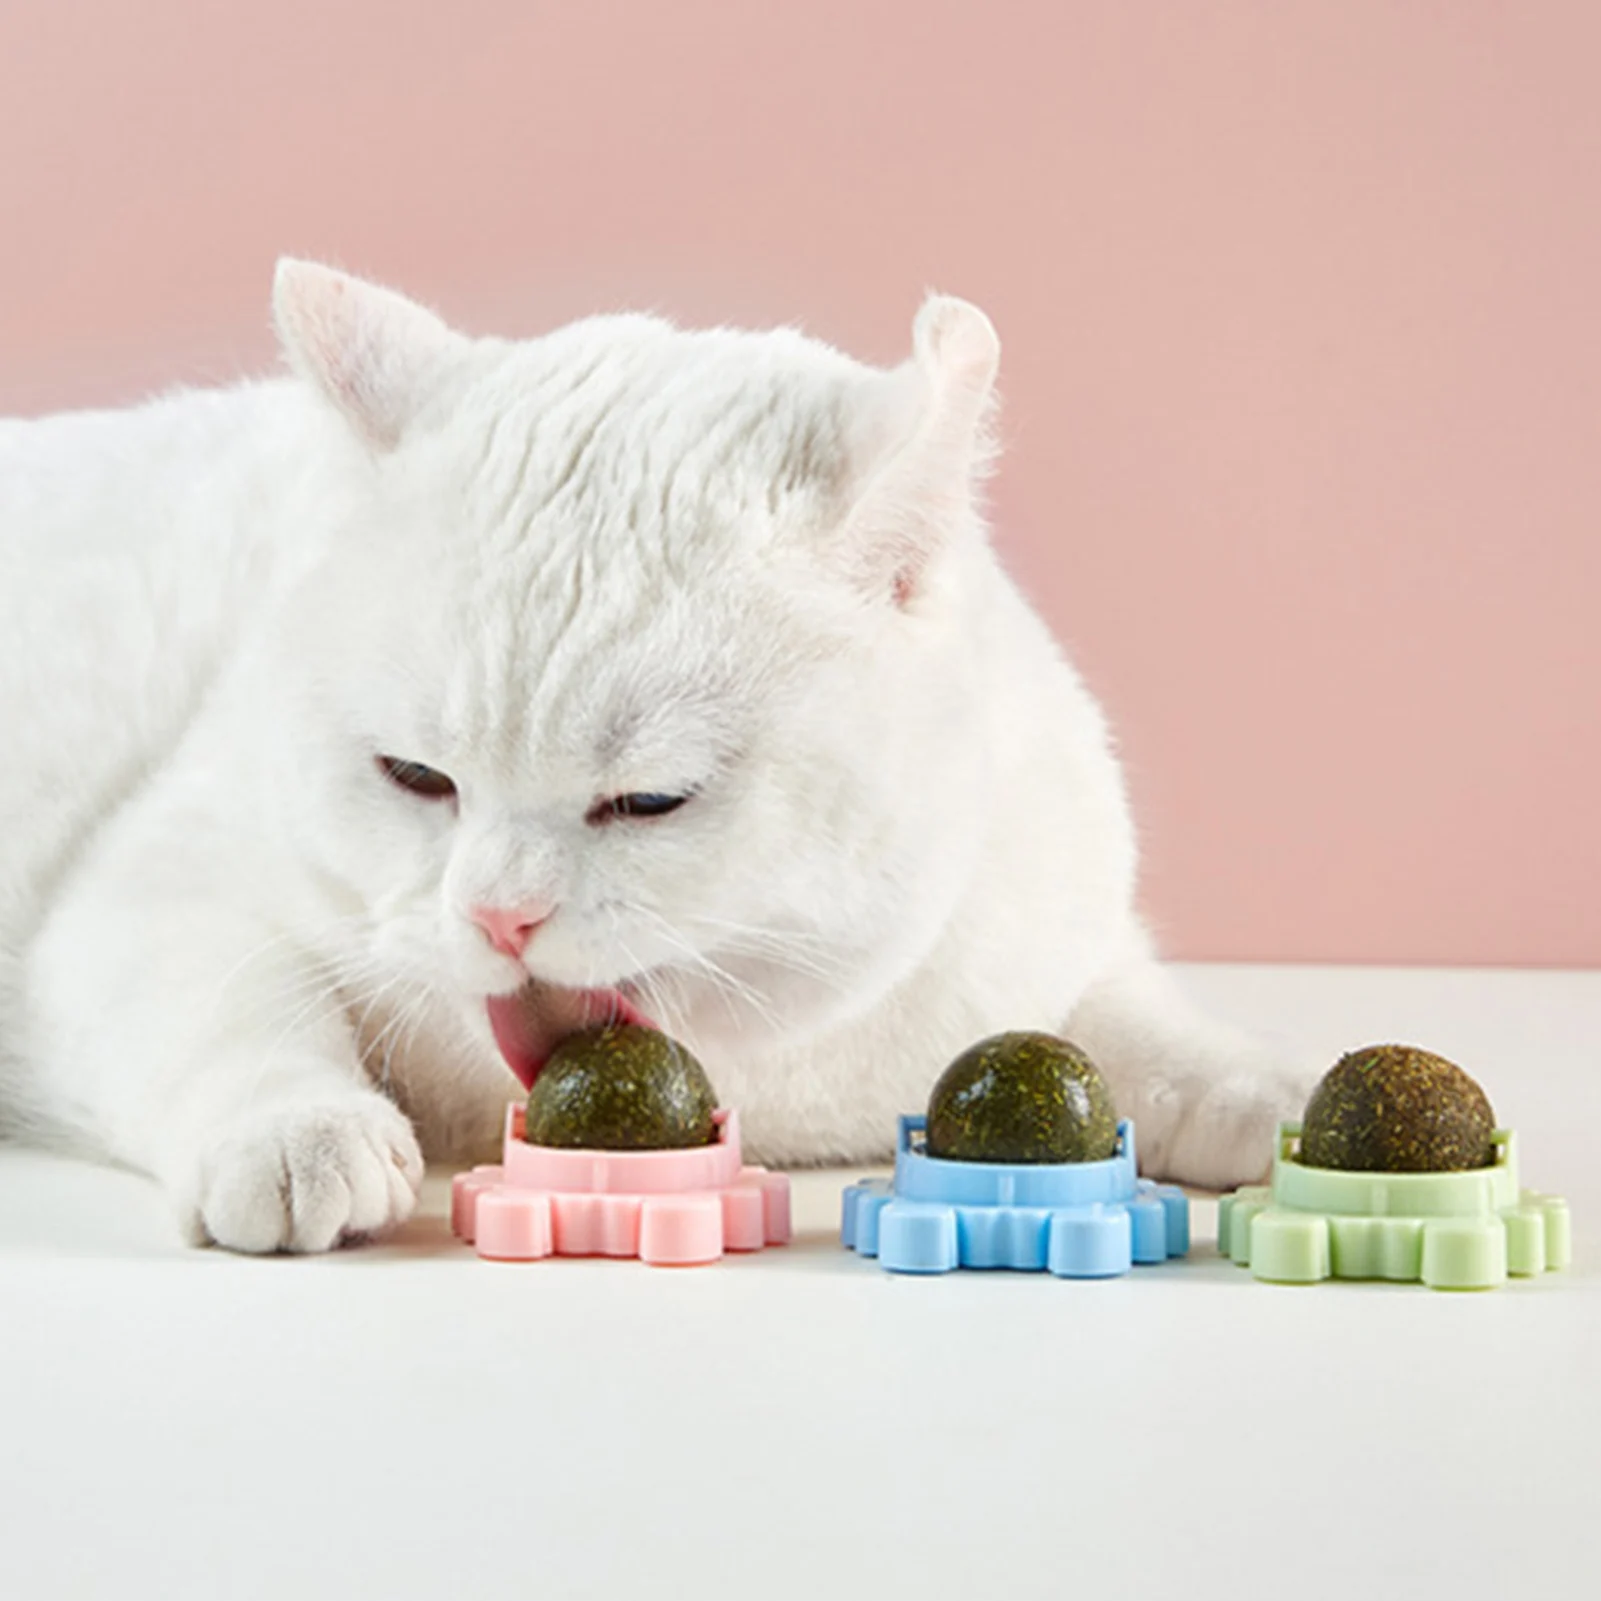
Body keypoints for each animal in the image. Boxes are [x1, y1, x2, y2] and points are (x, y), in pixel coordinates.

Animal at [0, 260, 1309, 1252]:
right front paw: (297, 1131)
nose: (499, 916)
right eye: (416, 779)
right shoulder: (155, 881)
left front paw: (1268, 1088)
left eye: (648, 801)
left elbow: (1134, 1020)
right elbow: (243, 1011)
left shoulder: (1050, 932)